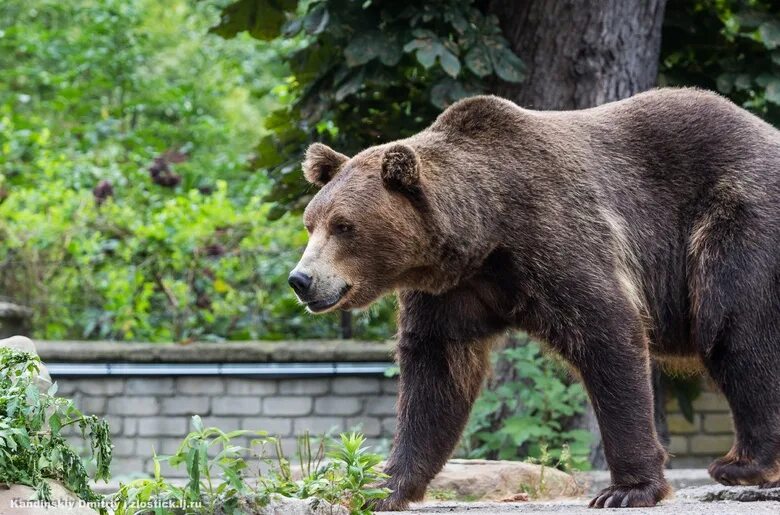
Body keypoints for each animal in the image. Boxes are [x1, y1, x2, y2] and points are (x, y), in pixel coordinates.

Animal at [286, 86, 780, 510]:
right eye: (312, 223)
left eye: (344, 225)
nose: (301, 279)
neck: (485, 234)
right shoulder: (449, 292)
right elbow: (435, 375)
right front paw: (379, 485)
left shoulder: (556, 237)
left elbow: (609, 332)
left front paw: (627, 489)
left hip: (737, 222)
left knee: (733, 330)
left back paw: (742, 463)